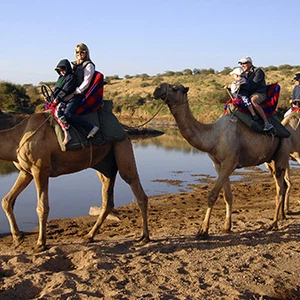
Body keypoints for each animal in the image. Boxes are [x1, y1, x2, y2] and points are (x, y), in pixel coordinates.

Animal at [0, 112, 149, 251]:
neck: (17, 139)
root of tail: (124, 130)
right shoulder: (26, 172)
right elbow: (6, 201)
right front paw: (18, 238)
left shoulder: (40, 169)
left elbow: (42, 207)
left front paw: (40, 244)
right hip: (105, 164)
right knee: (108, 200)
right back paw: (89, 236)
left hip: (122, 145)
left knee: (135, 186)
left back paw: (145, 237)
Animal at [154, 82, 290, 239]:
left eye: (175, 88)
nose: (157, 89)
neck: (213, 136)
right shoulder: (218, 165)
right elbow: (227, 196)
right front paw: (226, 226)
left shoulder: (230, 162)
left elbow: (212, 195)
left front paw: (203, 230)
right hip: (270, 159)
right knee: (281, 184)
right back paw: (280, 217)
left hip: (282, 152)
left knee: (280, 189)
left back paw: (274, 224)